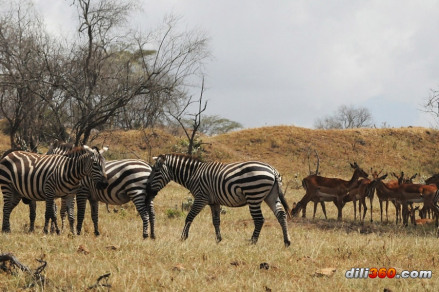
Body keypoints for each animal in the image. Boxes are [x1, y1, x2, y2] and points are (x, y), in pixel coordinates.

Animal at [146, 153, 294, 246]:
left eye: (156, 171)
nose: (147, 190)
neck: (193, 174)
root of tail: (272, 170)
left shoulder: (201, 197)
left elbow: (189, 217)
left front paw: (183, 237)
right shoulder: (214, 202)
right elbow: (216, 221)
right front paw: (218, 240)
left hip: (254, 196)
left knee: (259, 219)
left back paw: (253, 241)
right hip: (271, 196)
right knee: (281, 215)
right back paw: (286, 241)